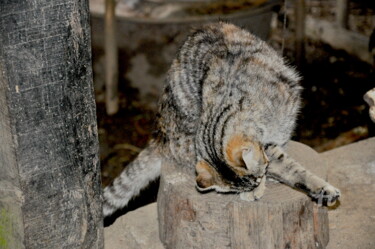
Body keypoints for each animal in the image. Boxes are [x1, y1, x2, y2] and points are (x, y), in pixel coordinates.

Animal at [102, 22, 340, 217]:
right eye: (251, 182)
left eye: (257, 177)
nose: (254, 189)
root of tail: (160, 138)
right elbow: (286, 166)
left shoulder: (283, 121)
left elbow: (287, 162)